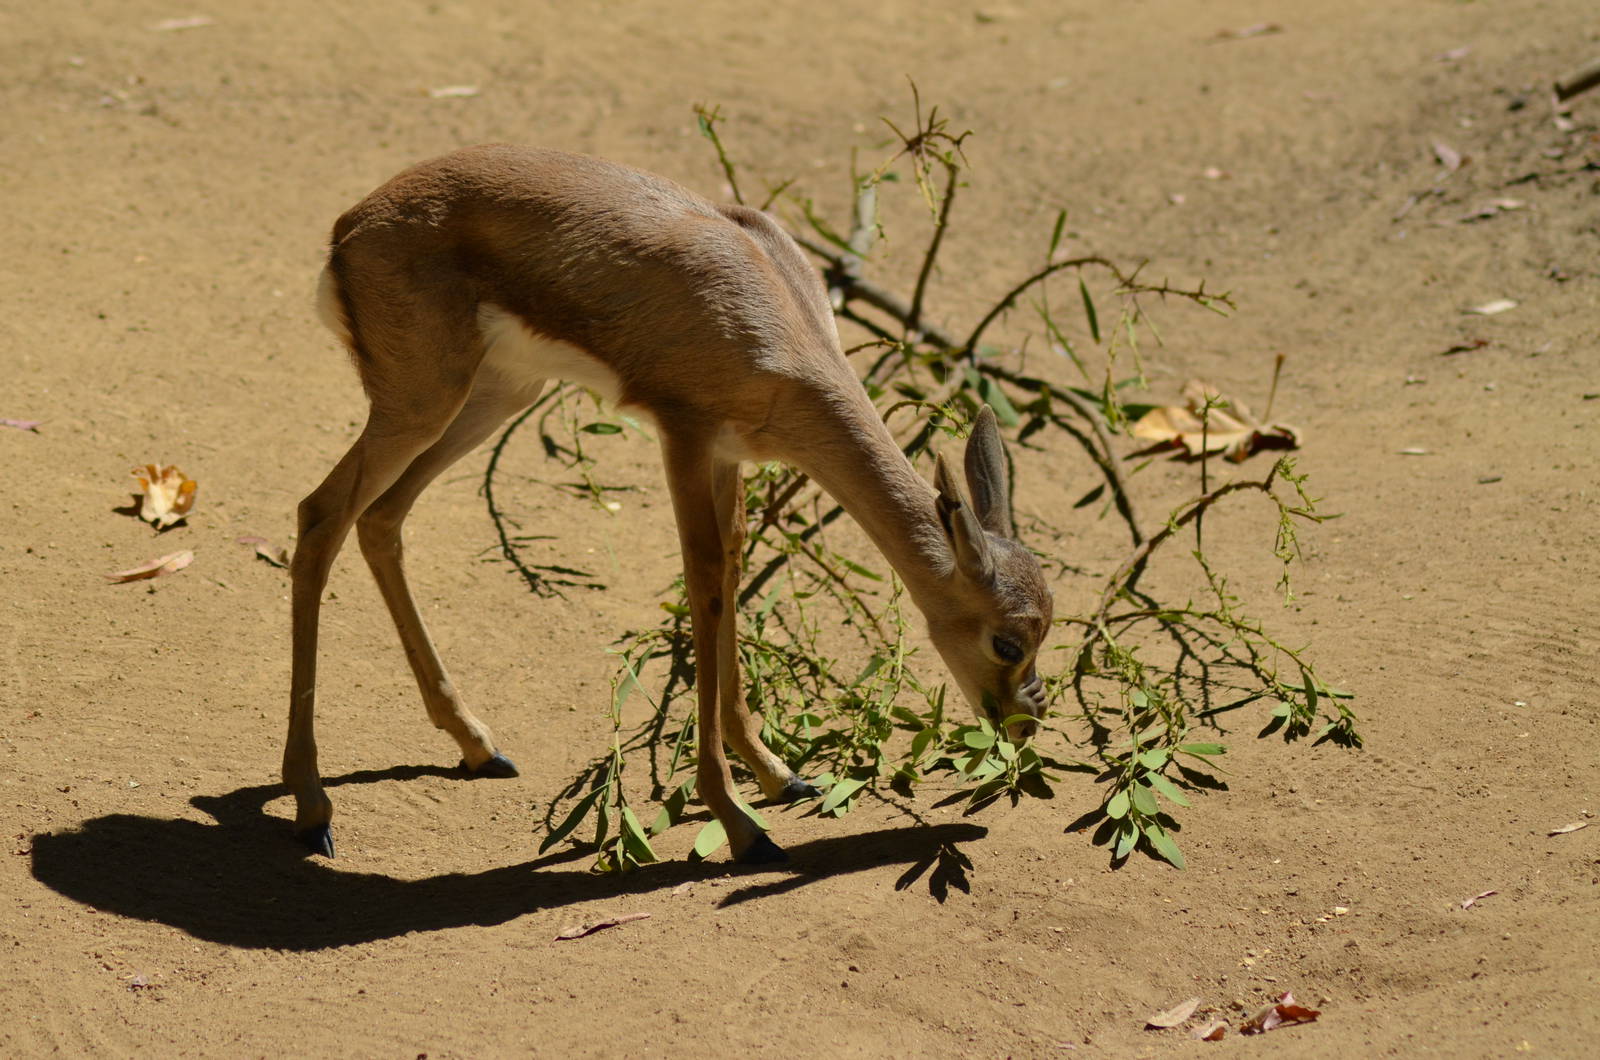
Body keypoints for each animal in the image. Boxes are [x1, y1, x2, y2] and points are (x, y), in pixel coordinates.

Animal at [286, 144, 1054, 863]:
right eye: (1007, 641)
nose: (1024, 722)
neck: (778, 326)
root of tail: (352, 225)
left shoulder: (729, 456)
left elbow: (733, 574)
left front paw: (778, 775)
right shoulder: (683, 435)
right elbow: (704, 581)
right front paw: (740, 825)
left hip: (497, 394)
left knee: (380, 519)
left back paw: (477, 746)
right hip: (420, 405)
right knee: (321, 516)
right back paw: (313, 809)